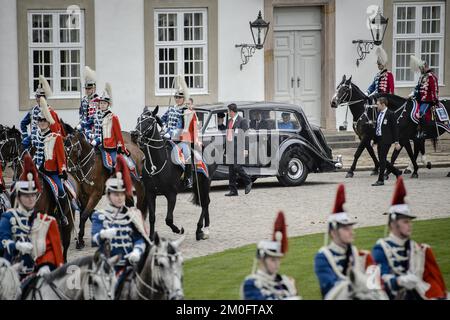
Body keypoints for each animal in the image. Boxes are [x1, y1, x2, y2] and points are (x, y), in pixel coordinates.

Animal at [62, 122, 147, 250]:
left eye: (75, 148)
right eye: (63, 148)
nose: (69, 170)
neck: (89, 165)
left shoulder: (95, 195)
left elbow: (84, 215)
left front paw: (81, 240)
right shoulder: (83, 196)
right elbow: (84, 214)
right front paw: (81, 239)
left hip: (138, 186)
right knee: (129, 204)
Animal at [130, 106, 216, 241]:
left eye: (149, 121)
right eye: (138, 119)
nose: (134, 134)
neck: (156, 164)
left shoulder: (171, 194)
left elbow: (168, 219)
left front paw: (179, 230)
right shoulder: (150, 193)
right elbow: (152, 217)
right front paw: (151, 238)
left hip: (206, 182)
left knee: (206, 203)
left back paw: (201, 230)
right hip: (198, 185)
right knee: (204, 203)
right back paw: (202, 231)